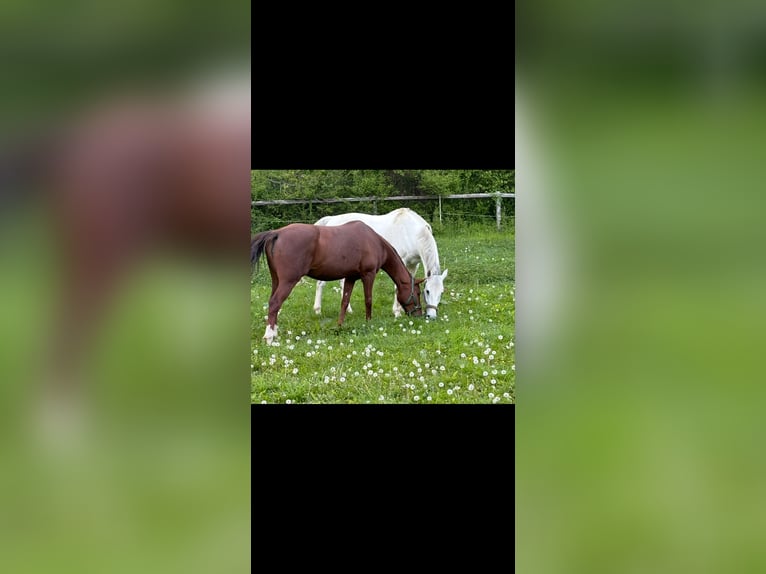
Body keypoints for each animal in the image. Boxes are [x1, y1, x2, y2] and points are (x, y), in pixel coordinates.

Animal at [250, 223, 424, 344]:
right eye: (418, 292)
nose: (419, 315)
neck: (374, 242)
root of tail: (277, 233)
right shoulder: (368, 275)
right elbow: (368, 300)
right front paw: (369, 322)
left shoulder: (350, 278)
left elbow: (344, 302)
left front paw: (340, 325)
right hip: (288, 281)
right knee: (275, 303)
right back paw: (269, 337)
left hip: (276, 281)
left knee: (273, 305)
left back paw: (275, 333)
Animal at [314, 208, 450, 324]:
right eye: (427, 291)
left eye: (442, 292)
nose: (431, 316)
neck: (411, 232)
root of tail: (331, 220)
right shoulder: (400, 261)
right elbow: (397, 286)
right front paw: (397, 312)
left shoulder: (413, 265)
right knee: (321, 283)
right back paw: (318, 311)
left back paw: (349, 310)